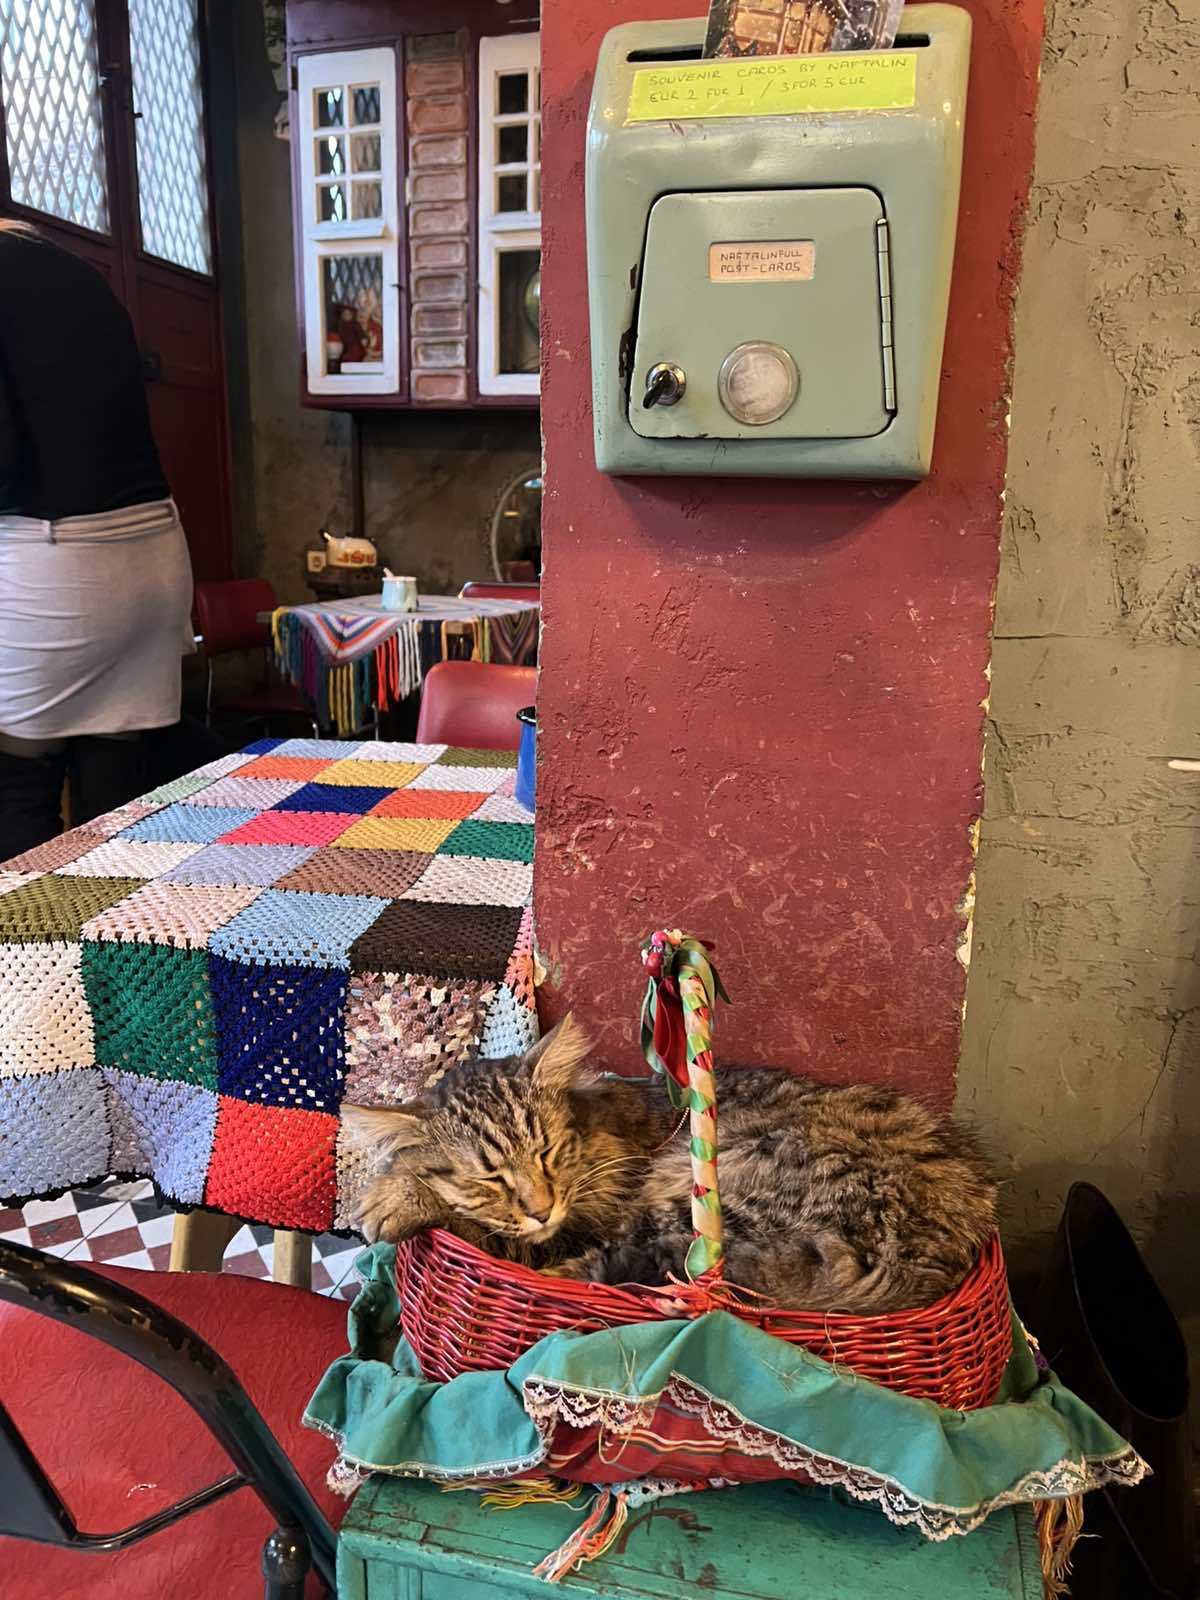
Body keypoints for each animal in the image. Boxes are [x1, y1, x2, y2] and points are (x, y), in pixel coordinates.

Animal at [343, 1013, 998, 1313]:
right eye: (490, 1177)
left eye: (548, 1151)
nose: (540, 1207)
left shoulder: (584, 1220)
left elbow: (489, 1233)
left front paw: (393, 1197)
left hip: (705, 1194)